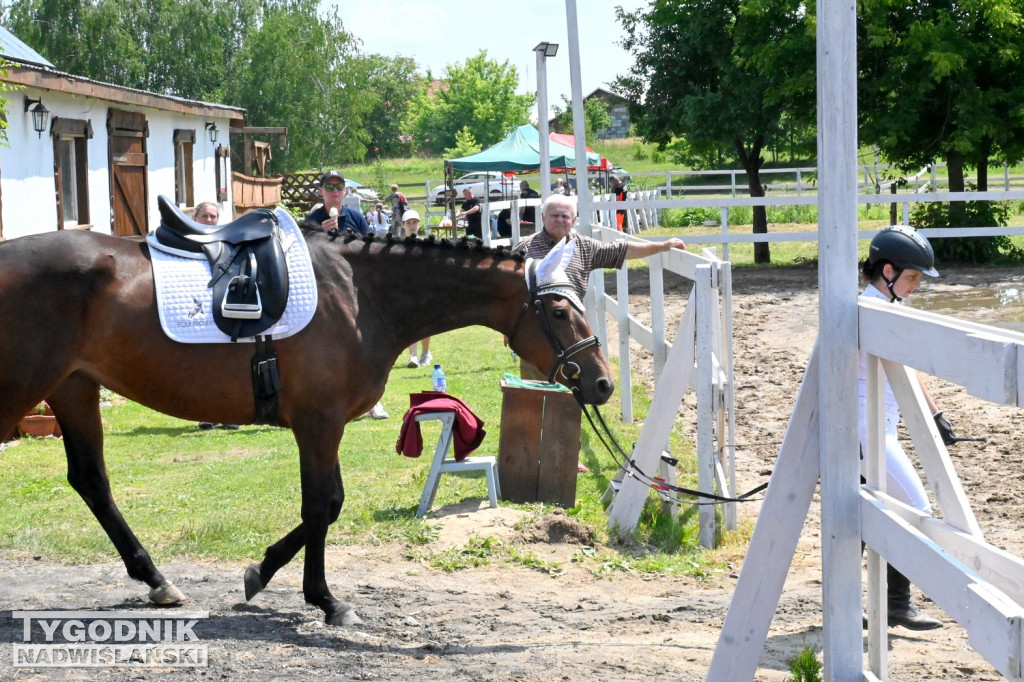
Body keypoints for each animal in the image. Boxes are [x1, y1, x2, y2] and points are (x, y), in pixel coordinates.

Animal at [0, 225, 610, 622]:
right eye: (559, 311)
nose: (602, 382)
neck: (361, 294)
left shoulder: (324, 424)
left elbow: (325, 507)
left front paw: (262, 572)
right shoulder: (318, 423)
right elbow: (322, 506)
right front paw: (324, 599)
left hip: (74, 387)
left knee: (91, 482)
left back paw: (156, 581)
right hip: (23, 392)